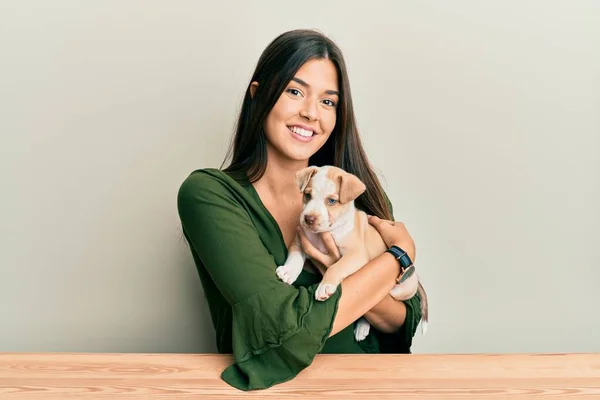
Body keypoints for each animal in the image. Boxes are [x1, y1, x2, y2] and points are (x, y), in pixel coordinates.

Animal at [274, 166, 428, 340]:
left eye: (332, 201)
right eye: (307, 195)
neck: (325, 232)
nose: (309, 219)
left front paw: (325, 286)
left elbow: (335, 267)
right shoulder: (300, 241)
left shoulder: (356, 255)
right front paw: (288, 272)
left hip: (393, 290)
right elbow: (295, 258)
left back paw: (362, 327)